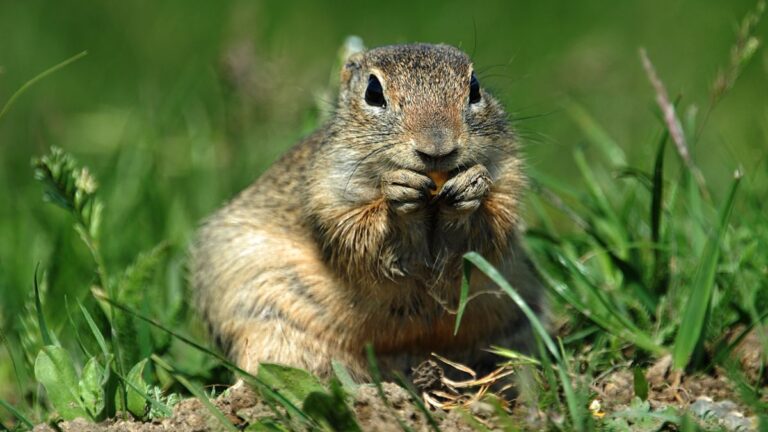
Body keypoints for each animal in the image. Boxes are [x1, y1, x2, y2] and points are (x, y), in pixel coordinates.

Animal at [191, 43, 543, 380]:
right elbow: (357, 234)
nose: (438, 148)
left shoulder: (508, 174)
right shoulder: (329, 192)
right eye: (373, 92)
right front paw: (397, 195)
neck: (431, 202)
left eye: (474, 88)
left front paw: (471, 187)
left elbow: (493, 225)